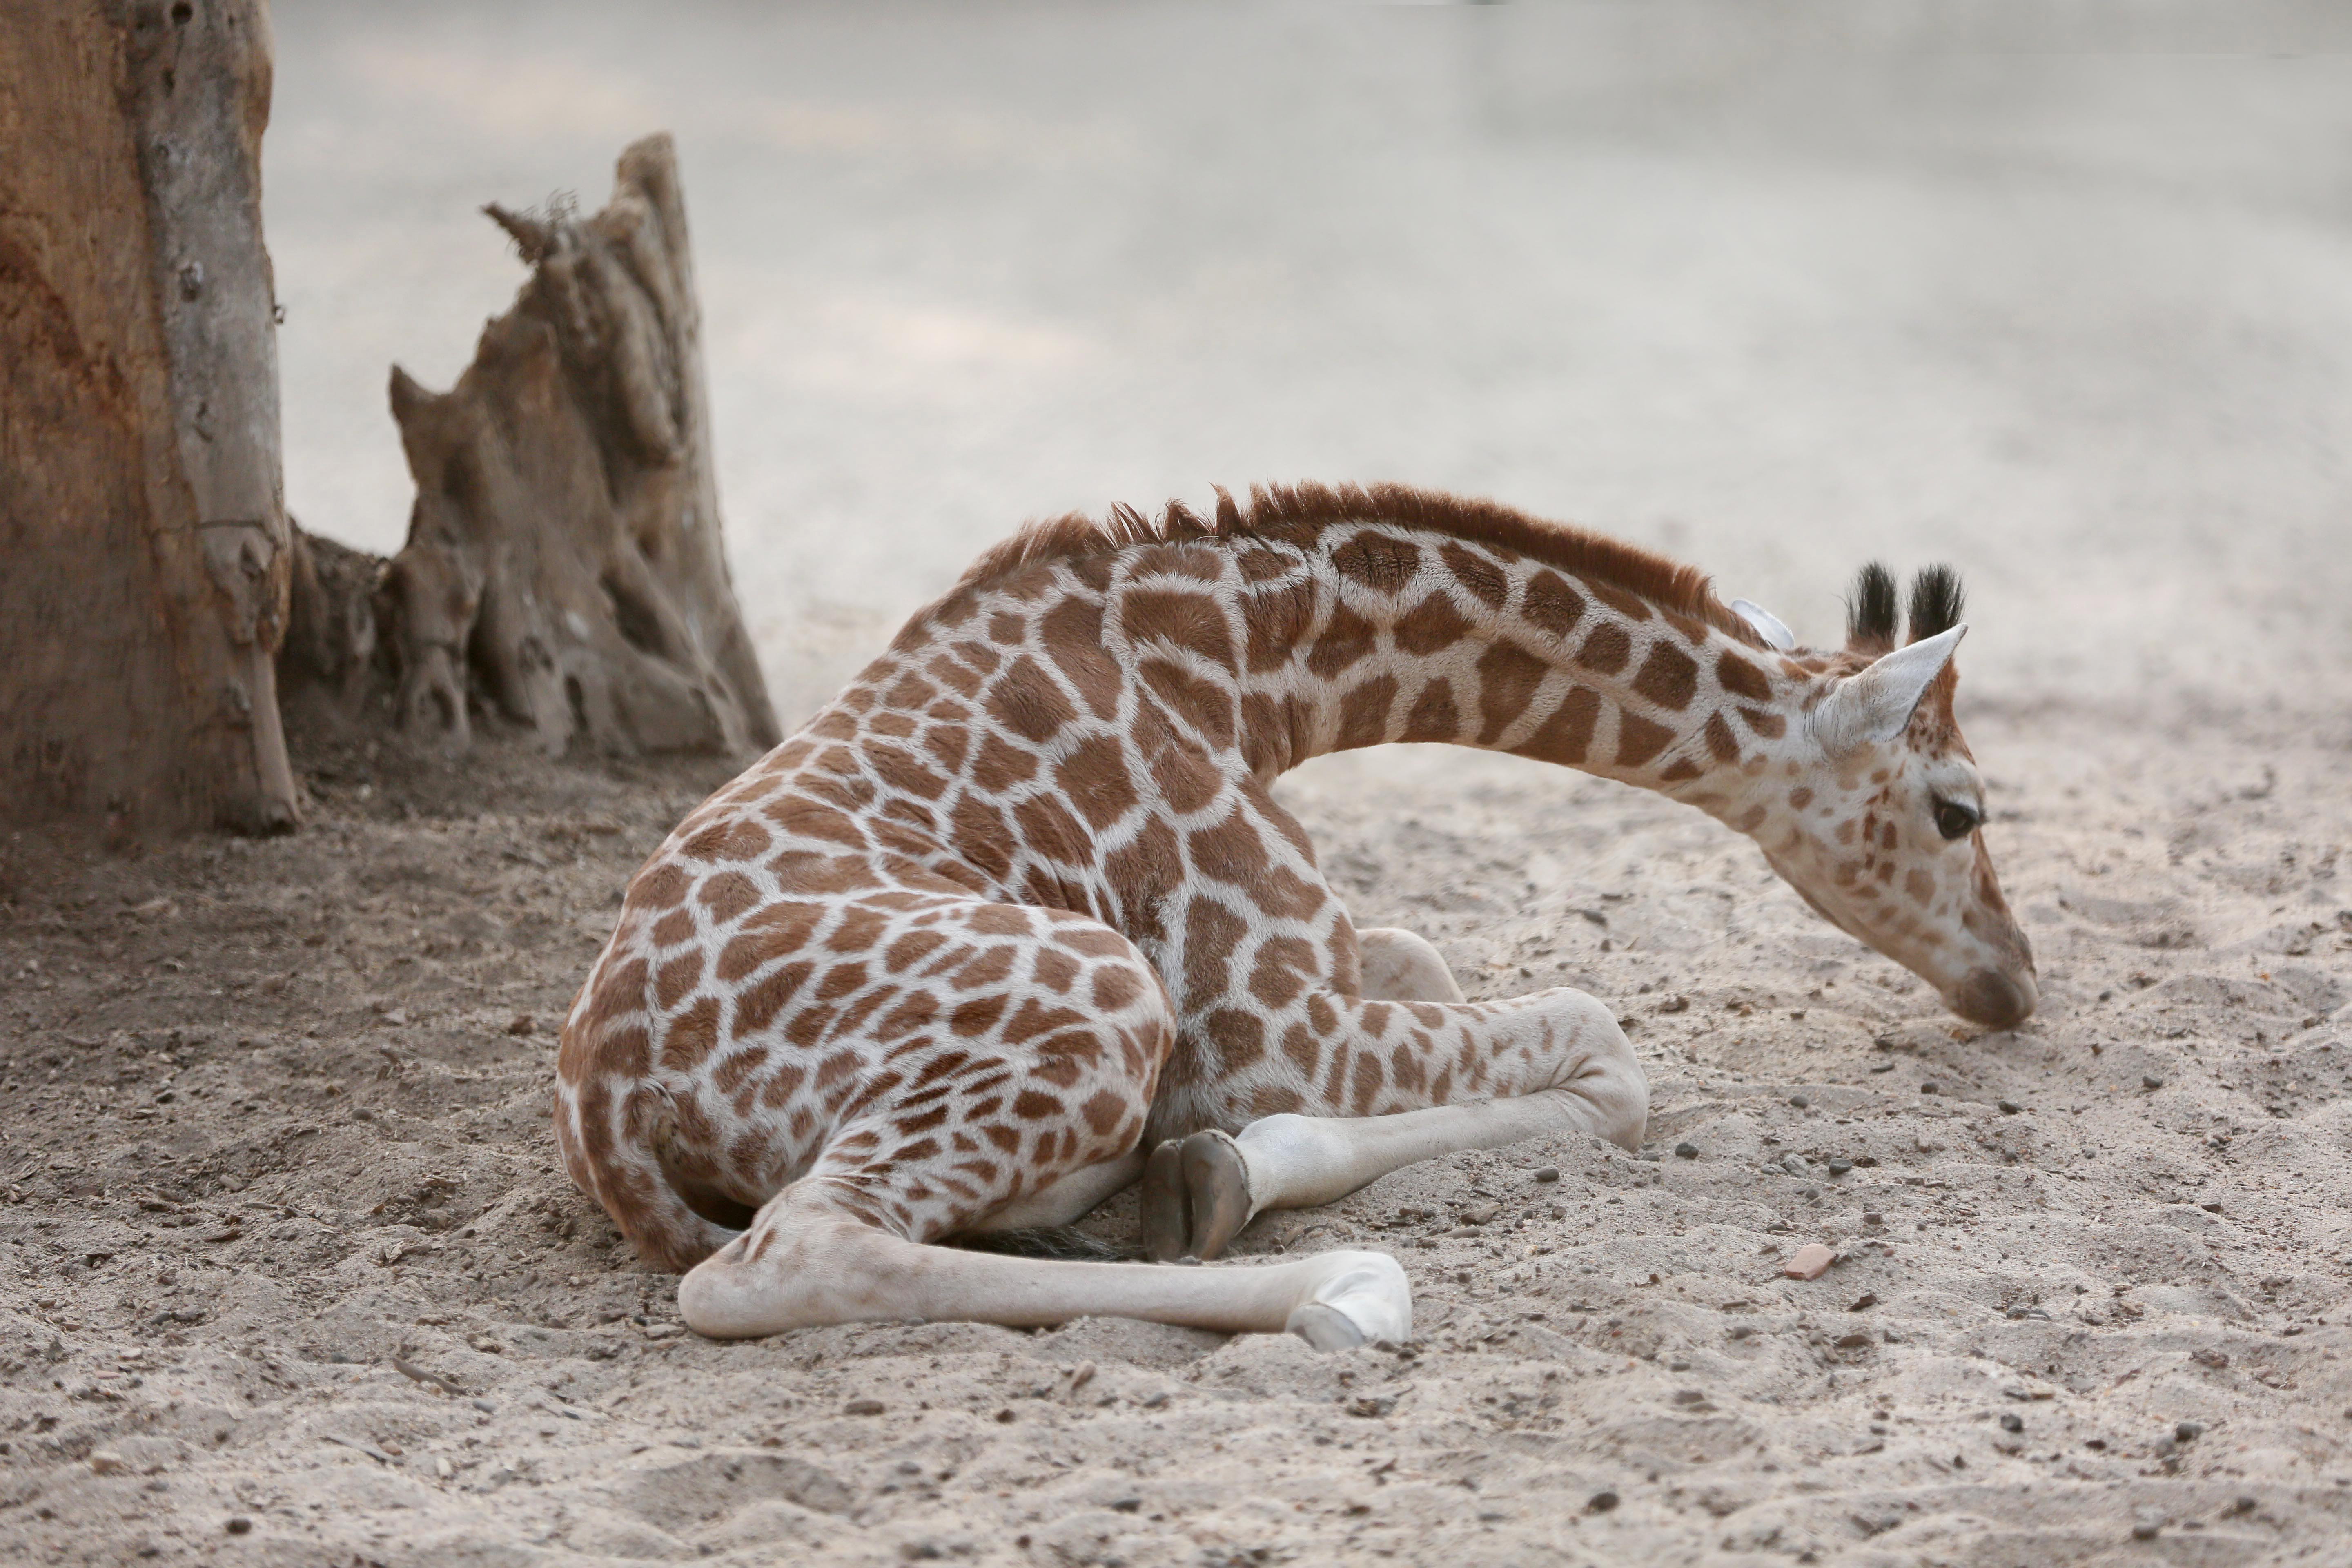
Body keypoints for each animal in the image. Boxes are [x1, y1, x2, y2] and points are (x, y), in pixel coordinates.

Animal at [550, 482, 2041, 1354]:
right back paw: (1339, 1291)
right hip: (1101, 994)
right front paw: (1227, 1170)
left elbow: (1440, 966)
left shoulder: (1324, 973)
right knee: (787, 1255)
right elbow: (1609, 1052)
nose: (2016, 981)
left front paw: (1219, 1168)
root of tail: (609, 1106)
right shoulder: (1259, 1028)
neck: (1249, 673)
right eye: (1960, 809)